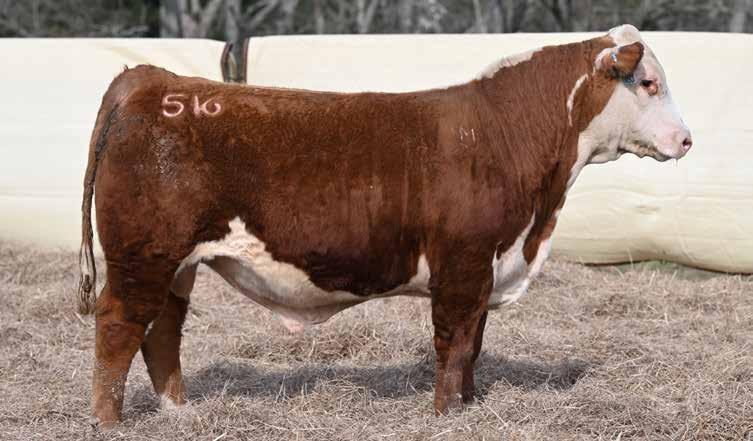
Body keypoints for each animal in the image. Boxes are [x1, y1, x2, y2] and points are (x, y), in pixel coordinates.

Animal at [77, 25, 691, 427]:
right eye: (649, 83)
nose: (686, 140)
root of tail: (151, 79)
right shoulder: (463, 265)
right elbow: (454, 343)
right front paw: (446, 413)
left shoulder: (486, 267)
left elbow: (475, 343)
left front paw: (469, 407)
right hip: (143, 257)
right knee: (119, 328)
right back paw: (110, 422)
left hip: (175, 263)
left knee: (162, 331)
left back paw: (180, 412)